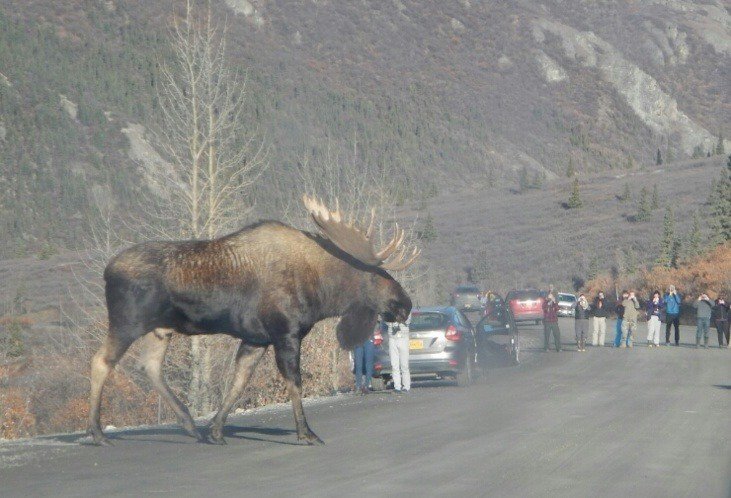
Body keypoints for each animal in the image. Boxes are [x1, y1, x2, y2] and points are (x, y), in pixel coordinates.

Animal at [87, 196, 418, 446]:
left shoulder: (256, 339)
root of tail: (107, 270)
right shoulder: (285, 333)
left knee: (150, 366)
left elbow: (238, 383)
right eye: (376, 275)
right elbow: (294, 383)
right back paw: (98, 433)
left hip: (160, 328)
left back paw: (190, 425)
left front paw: (216, 430)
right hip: (128, 322)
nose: (406, 304)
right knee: (101, 361)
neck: (321, 292)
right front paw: (306, 433)